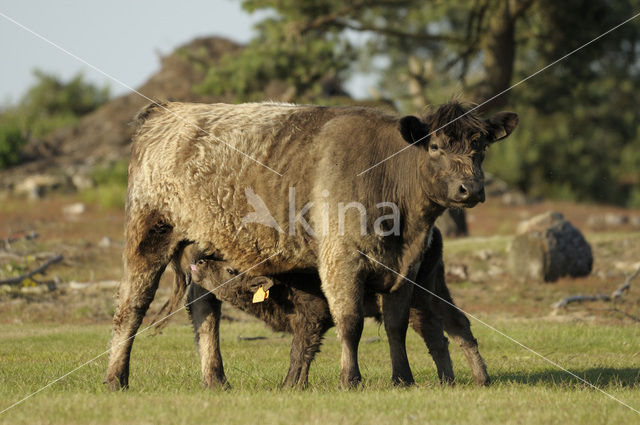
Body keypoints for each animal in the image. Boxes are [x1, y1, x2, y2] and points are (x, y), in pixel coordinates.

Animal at [104, 99, 516, 388]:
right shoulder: (341, 262)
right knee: (131, 307)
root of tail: (165, 110)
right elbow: (349, 322)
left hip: (200, 248)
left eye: (481, 147)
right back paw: (115, 378)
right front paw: (350, 380)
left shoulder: (406, 272)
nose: (470, 188)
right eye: (435, 147)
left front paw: (403, 379)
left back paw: (216, 380)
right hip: (147, 237)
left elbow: (395, 325)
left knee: (204, 308)